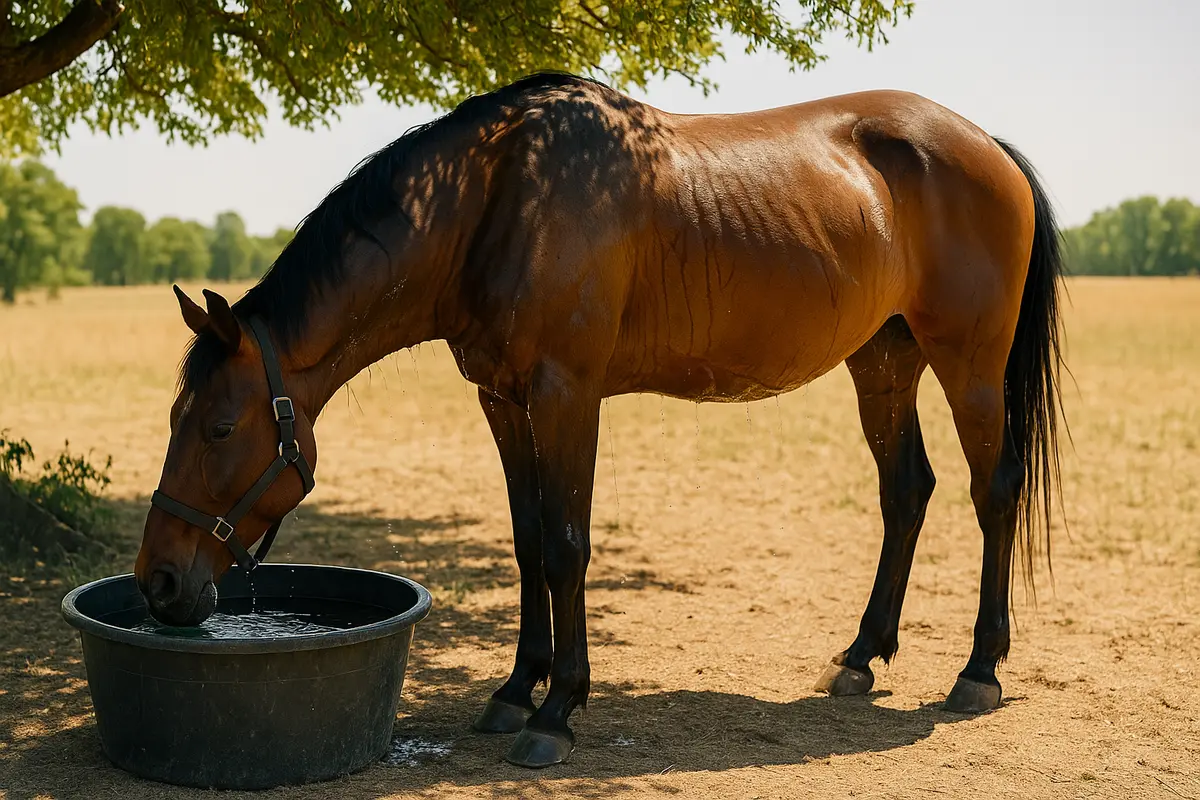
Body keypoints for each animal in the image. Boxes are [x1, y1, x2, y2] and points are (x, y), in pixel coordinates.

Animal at [134, 72, 1066, 768]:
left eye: (219, 428)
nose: (159, 582)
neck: (501, 199)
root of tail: (988, 147)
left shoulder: (566, 395)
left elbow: (566, 546)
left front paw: (558, 712)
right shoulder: (502, 399)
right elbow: (526, 543)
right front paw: (516, 691)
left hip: (969, 364)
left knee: (993, 493)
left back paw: (979, 670)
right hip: (884, 360)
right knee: (906, 491)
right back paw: (862, 656)